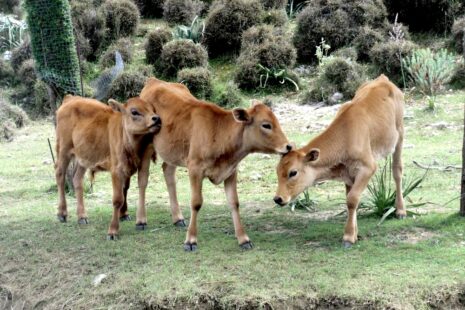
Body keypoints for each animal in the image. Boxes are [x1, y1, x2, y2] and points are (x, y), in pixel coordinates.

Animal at [53, 95, 160, 239]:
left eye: (153, 109)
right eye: (134, 111)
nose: (157, 118)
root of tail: (70, 98)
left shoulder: (139, 165)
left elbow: (131, 188)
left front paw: (131, 217)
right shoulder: (116, 170)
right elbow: (118, 199)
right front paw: (113, 231)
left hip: (84, 157)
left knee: (77, 179)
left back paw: (82, 216)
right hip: (63, 149)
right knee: (60, 174)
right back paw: (62, 213)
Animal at [140, 78, 290, 251]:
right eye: (266, 125)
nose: (288, 146)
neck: (219, 132)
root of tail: (154, 80)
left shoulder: (231, 171)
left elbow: (234, 203)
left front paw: (243, 239)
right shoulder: (195, 169)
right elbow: (196, 203)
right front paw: (190, 240)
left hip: (173, 151)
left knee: (168, 171)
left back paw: (177, 218)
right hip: (145, 145)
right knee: (143, 180)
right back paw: (141, 220)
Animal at [274, 75, 404, 247]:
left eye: (293, 172)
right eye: (277, 171)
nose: (278, 198)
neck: (346, 135)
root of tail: (383, 79)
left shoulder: (368, 167)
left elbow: (352, 199)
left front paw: (348, 237)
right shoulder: (348, 174)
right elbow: (351, 201)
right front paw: (354, 234)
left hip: (400, 135)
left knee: (397, 171)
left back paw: (401, 210)